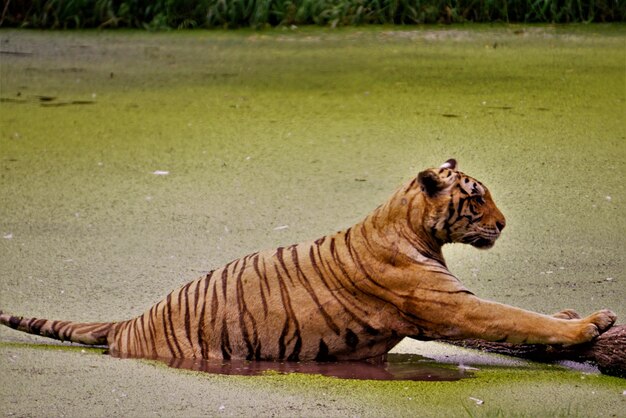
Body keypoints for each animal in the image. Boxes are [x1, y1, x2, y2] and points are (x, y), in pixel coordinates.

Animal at [0, 160, 616, 362]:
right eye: (477, 198)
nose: (505, 224)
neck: (410, 223)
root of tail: (130, 319)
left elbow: (526, 316)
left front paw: (570, 314)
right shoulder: (454, 307)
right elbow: (514, 316)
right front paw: (590, 323)